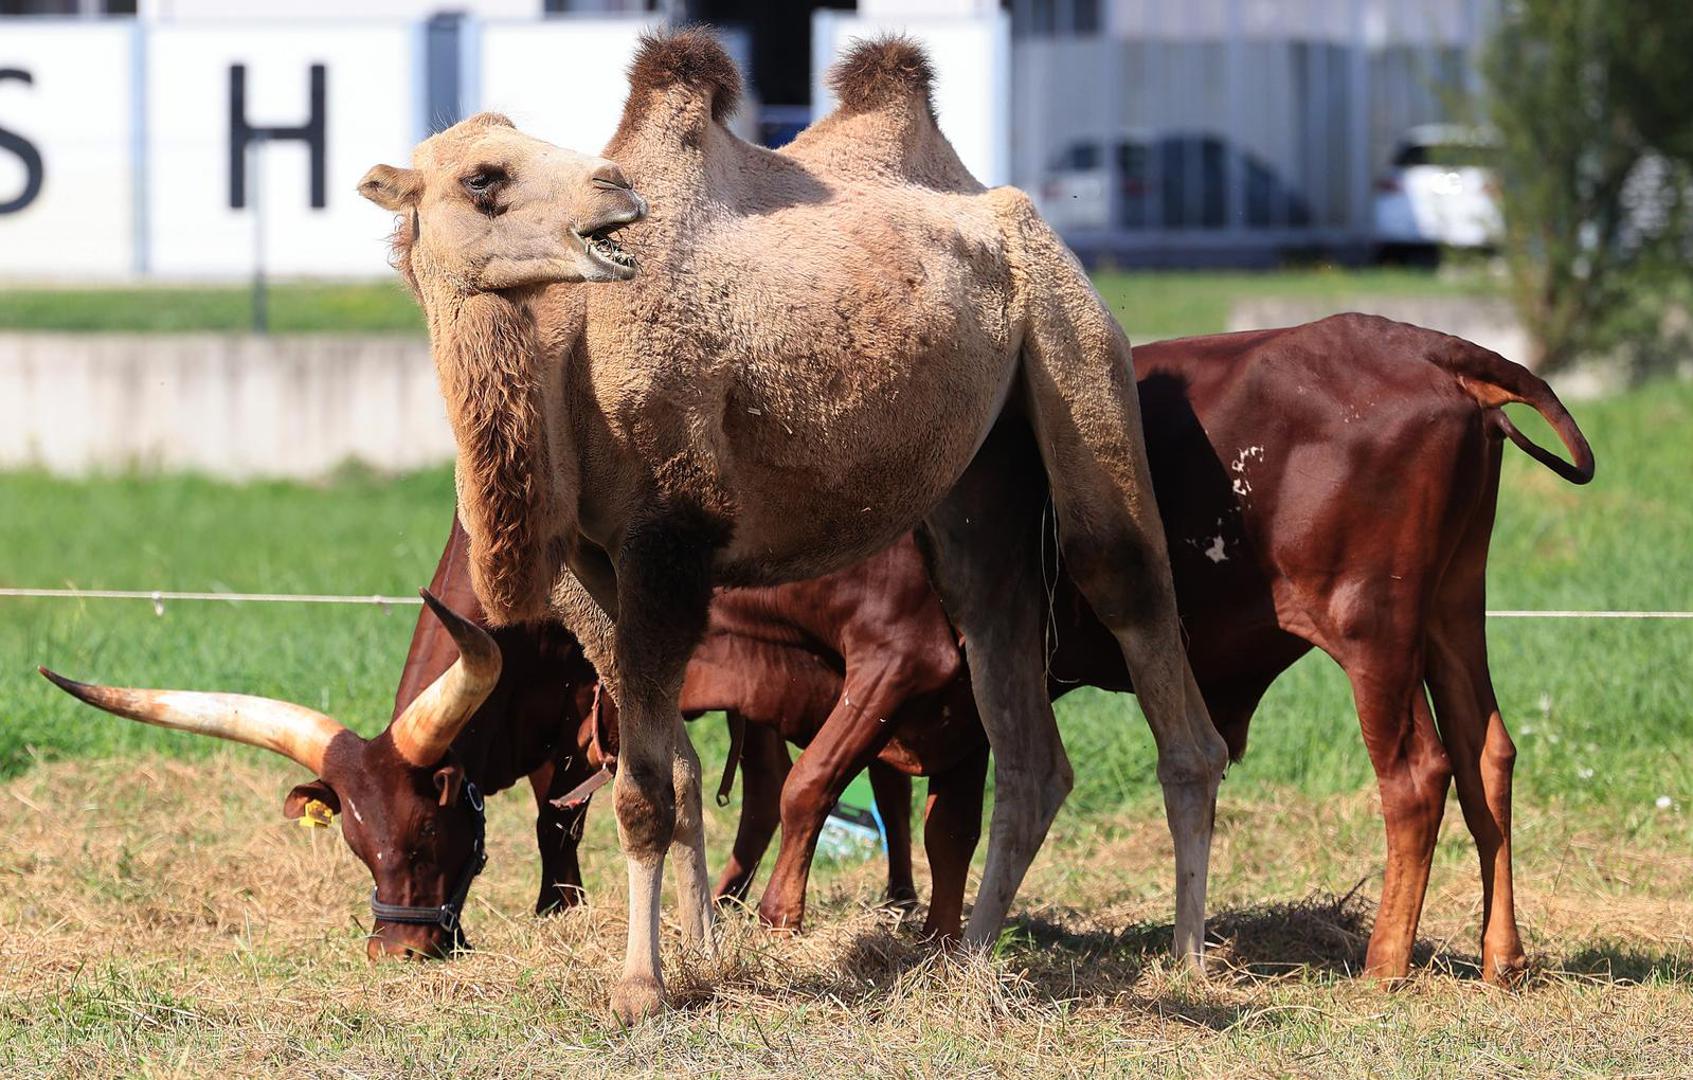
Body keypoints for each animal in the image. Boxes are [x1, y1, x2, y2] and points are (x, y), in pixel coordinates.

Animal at [360, 29, 1232, 1022]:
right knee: (1013, 692)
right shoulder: (586, 569)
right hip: (979, 477)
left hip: (1076, 345)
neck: (567, 357)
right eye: (483, 176)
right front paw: (701, 952)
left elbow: (644, 792)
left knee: (1129, 595)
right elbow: (677, 771)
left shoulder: (669, 544)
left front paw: (640, 988)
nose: (617, 192)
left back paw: (1189, 963)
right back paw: (967, 965)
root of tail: (1022, 220)